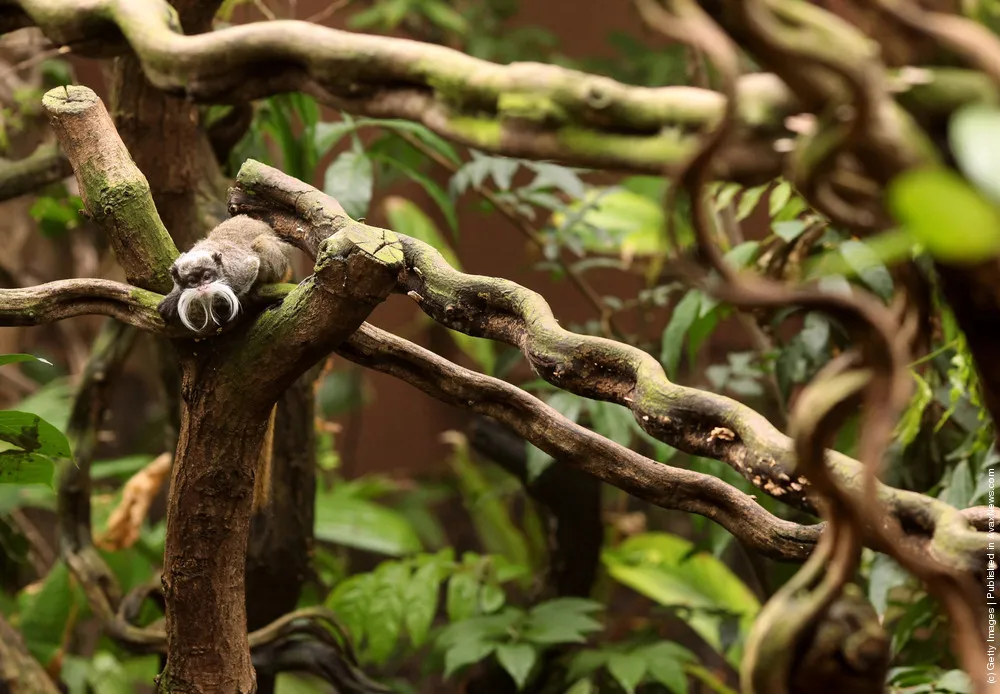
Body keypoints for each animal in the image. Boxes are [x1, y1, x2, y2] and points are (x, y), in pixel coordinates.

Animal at [158, 215, 292, 514]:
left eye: (208, 276)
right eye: (193, 280)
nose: (204, 287)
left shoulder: (239, 268)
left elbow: (249, 270)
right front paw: (174, 299)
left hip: (278, 261)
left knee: (263, 247)